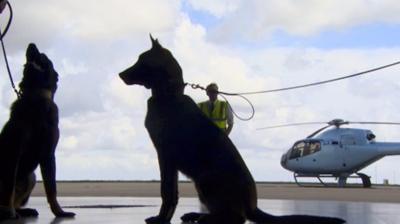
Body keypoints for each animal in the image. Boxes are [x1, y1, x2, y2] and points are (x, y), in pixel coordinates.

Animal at [0, 43, 75, 220]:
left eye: (44, 56)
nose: (31, 44)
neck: (36, 97)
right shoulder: (14, 151)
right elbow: (9, 188)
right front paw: (8, 212)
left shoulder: (48, 153)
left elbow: (52, 189)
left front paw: (59, 212)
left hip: (30, 177)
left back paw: (23, 211)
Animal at [118, 37, 344, 224]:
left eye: (142, 60)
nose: (120, 74)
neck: (168, 94)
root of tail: (252, 207)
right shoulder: (167, 158)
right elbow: (171, 192)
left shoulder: (165, 155)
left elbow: (167, 192)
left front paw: (160, 219)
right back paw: (196, 215)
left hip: (205, 180)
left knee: (236, 217)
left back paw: (205, 219)